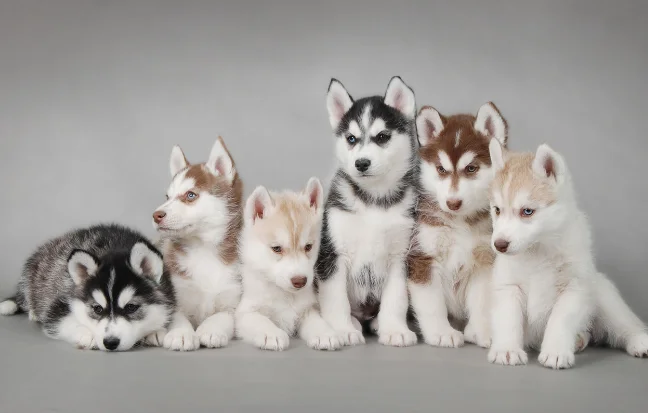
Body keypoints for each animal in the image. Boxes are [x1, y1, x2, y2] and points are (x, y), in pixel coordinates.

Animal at [0, 222, 176, 350]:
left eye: (131, 307)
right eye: (97, 309)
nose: (110, 343)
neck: (116, 247)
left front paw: (156, 331)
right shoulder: (59, 303)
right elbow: (63, 321)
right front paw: (88, 333)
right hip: (33, 272)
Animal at [149, 137, 243, 350]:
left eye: (190, 195)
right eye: (167, 197)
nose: (156, 215)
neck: (203, 250)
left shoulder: (233, 301)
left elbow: (223, 316)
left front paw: (211, 329)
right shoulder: (175, 296)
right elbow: (177, 317)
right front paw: (181, 334)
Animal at [235, 178, 342, 350]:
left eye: (308, 246)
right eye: (277, 248)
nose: (300, 281)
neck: (285, 294)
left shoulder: (307, 309)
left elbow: (316, 321)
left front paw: (325, 333)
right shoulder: (244, 313)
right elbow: (260, 320)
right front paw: (271, 334)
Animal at [316, 75, 420, 346]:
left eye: (382, 136)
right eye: (351, 139)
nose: (361, 163)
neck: (374, 200)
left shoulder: (400, 255)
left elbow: (396, 299)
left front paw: (395, 329)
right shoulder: (332, 253)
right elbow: (336, 299)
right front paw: (342, 330)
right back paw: (353, 323)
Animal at [404, 101, 506, 346]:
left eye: (471, 168)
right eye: (441, 169)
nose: (453, 203)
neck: (459, 223)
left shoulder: (484, 261)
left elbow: (482, 301)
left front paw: (482, 331)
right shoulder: (423, 256)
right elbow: (432, 304)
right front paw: (441, 332)